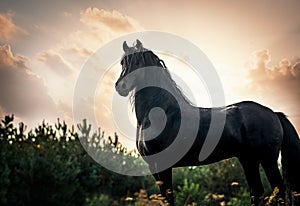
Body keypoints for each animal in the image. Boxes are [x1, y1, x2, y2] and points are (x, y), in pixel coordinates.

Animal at [115, 39, 300, 205]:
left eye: (138, 62)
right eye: (123, 62)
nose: (120, 87)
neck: (162, 113)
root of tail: (274, 114)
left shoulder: (163, 165)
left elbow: (169, 198)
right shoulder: (153, 167)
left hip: (268, 160)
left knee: (279, 190)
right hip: (249, 160)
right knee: (257, 191)